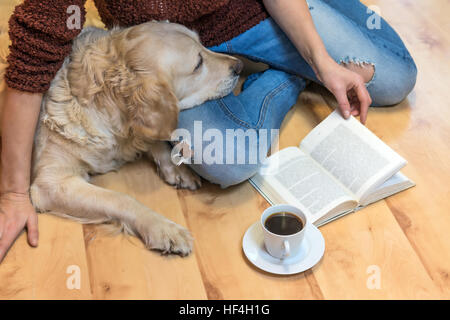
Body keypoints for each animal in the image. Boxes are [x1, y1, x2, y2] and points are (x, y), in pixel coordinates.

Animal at [25, 21, 243, 256]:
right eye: (198, 64)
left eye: (202, 43)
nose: (239, 66)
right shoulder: (51, 183)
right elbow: (120, 198)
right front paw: (163, 227)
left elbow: (152, 136)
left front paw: (177, 168)